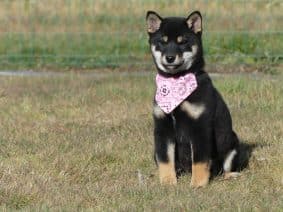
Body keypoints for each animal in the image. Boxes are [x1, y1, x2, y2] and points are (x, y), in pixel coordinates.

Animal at [148, 11, 241, 187]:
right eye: (162, 42)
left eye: (183, 42)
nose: (170, 57)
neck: (175, 82)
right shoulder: (162, 127)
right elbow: (165, 159)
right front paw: (167, 182)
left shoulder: (201, 126)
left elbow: (199, 160)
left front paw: (198, 184)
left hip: (231, 142)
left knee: (223, 168)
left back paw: (230, 176)